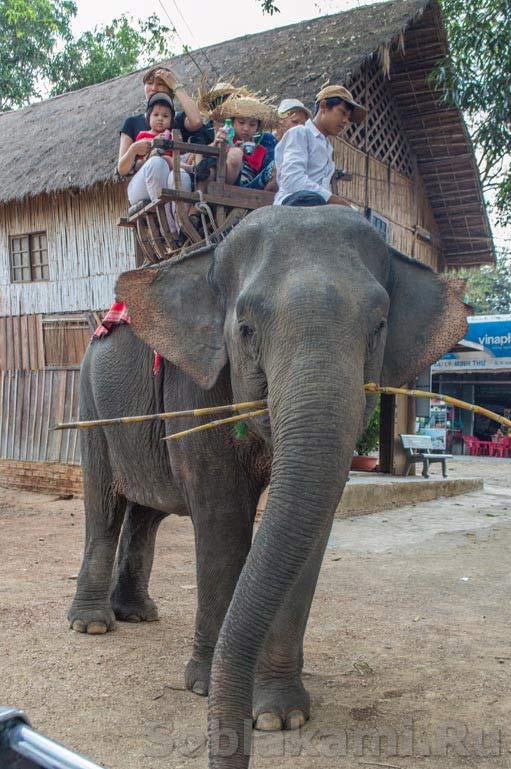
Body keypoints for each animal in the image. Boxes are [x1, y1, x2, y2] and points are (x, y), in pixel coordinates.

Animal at [70, 206, 470, 768]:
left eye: (379, 327)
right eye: (245, 329)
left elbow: (314, 525)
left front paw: (281, 717)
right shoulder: (197, 384)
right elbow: (222, 515)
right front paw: (203, 688)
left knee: (148, 511)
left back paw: (138, 615)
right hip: (90, 399)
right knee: (106, 503)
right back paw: (93, 625)